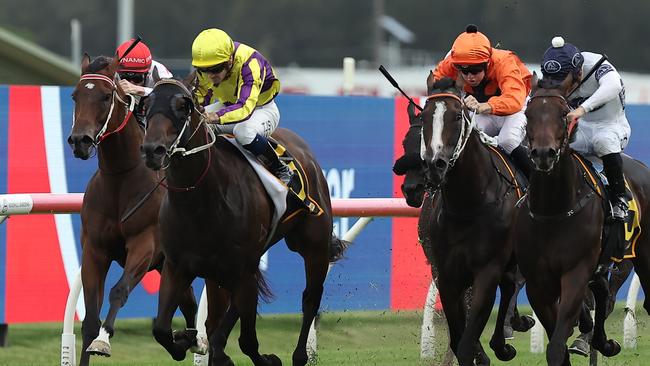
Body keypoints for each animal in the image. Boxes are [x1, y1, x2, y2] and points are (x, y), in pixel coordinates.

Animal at [68, 55, 200, 366]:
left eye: (106, 96)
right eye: (75, 96)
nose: (80, 141)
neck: (120, 178)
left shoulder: (145, 244)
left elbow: (119, 290)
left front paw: (104, 340)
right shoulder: (95, 249)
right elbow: (89, 319)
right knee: (188, 301)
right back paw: (184, 340)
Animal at [139, 78, 346, 366]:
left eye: (183, 106)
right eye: (145, 105)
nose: (152, 150)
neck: (200, 203)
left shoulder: (243, 269)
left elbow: (246, 341)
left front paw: (267, 359)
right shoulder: (177, 266)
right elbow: (161, 329)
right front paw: (185, 341)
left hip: (312, 246)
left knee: (310, 299)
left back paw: (300, 355)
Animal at [520, 73, 650, 364]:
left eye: (564, 114)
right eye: (528, 113)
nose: (543, 154)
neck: (553, 211)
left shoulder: (576, 273)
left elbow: (556, 347)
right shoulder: (537, 283)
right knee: (602, 290)